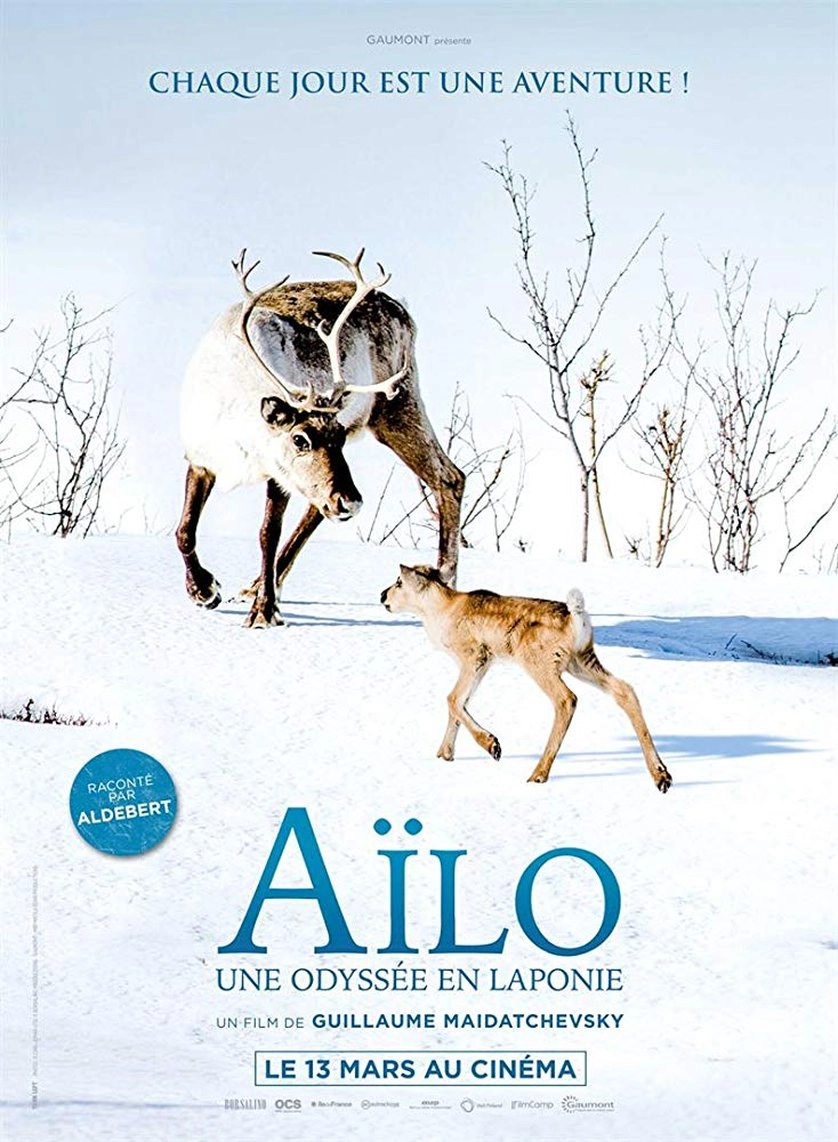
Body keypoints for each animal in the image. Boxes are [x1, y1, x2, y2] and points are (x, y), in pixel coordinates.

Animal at [177, 249, 464, 627]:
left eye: (339, 435)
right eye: (300, 439)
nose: (352, 503)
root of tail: (405, 312)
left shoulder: (279, 474)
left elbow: (267, 534)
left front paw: (264, 612)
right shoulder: (200, 458)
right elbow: (185, 530)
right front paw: (204, 591)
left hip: (397, 404)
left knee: (449, 476)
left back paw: (444, 580)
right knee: (319, 506)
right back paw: (254, 585)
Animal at [380, 565, 673, 792]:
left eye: (399, 581)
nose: (382, 595)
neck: (440, 611)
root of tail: (577, 617)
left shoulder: (475, 656)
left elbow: (452, 699)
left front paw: (493, 745)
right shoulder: (481, 663)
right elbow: (460, 703)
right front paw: (444, 754)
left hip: (540, 663)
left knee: (567, 699)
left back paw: (538, 774)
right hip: (582, 660)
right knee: (624, 689)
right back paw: (662, 777)